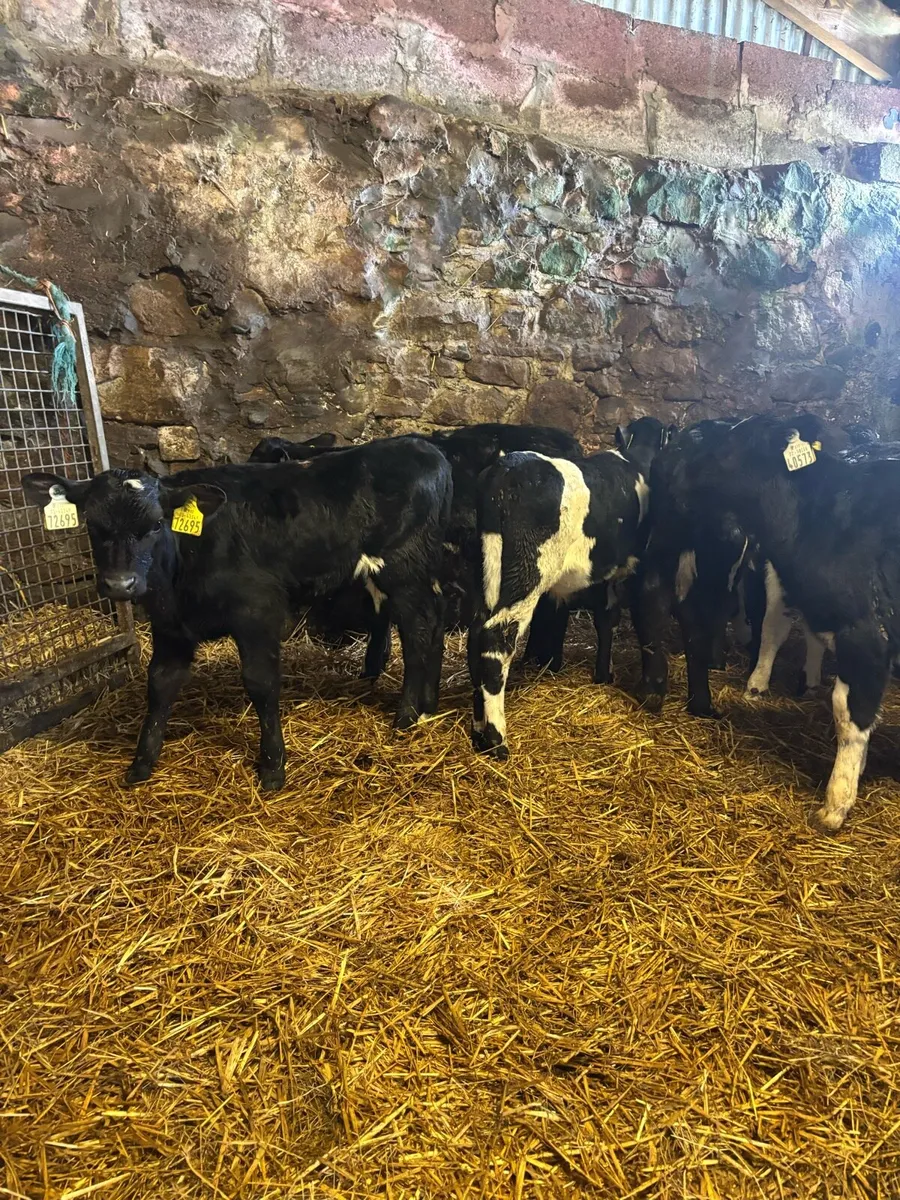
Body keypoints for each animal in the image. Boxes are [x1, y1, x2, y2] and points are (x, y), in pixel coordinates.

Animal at [22, 436, 451, 790]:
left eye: (157, 524)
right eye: (93, 525)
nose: (120, 585)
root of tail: (423, 448)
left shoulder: (257, 612)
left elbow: (261, 683)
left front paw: (273, 766)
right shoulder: (170, 626)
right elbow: (160, 684)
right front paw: (142, 763)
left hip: (403, 571)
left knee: (418, 631)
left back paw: (406, 715)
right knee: (434, 625)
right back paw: (427, 705)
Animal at [467, 417, 669, 760]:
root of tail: (507, 467)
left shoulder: (604, 573)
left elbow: (607, 619)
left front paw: (603, 675)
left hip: (489, 572)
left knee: (476, 633)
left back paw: (479, 729)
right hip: (527, 573)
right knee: (497, 637)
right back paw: (497, 739)